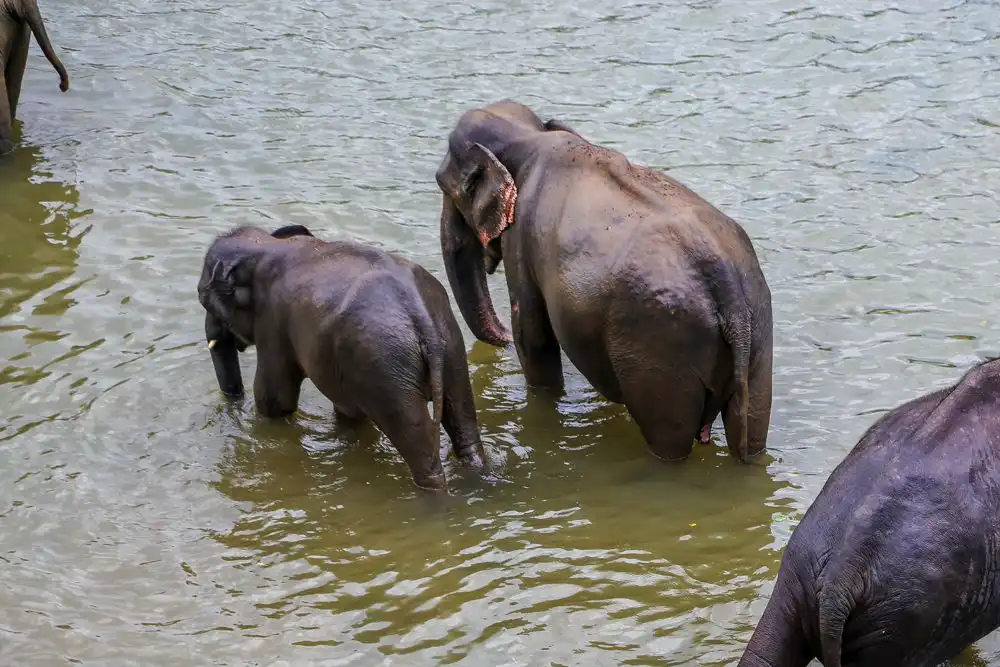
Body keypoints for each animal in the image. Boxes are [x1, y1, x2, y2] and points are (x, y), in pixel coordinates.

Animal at [197, 224, 488, 492]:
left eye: (203, 300)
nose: (235, 403)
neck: (265, 244)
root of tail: (422, 316)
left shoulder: (273, 322)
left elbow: (275, 399)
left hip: (386, 366)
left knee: (419, 448)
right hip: (450, 344)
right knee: (464, 425)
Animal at [435, 99, 772, 463]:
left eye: (445, 187)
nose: (502, 339)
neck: (531, 137)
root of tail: (726, 284)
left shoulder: (521, 238)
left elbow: (533, 336)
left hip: (660, 351)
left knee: (668, 438)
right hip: (756, 333)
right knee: (752, 427)